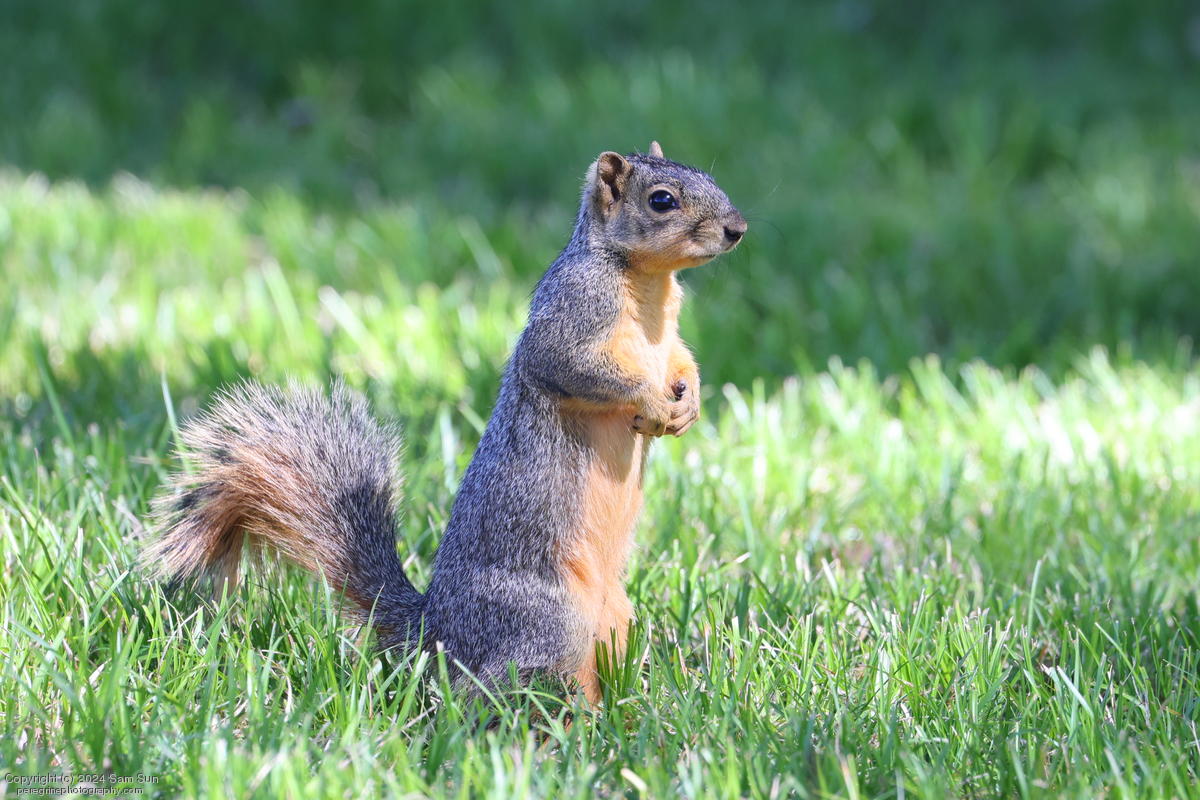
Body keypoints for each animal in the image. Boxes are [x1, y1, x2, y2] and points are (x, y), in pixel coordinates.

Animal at [144, 141, 747, 703]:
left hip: (614, 619)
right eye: (661, 200)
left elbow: (682, 361)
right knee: (495, 686)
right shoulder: (572, 312)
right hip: (548, 621)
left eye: (708, 175)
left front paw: (689, 403)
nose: (737, 230)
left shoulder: (670, 338)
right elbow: (575, 367)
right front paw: (653, 401)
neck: (647, 284)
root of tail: (435, 633)